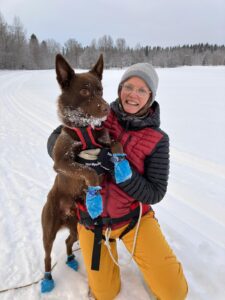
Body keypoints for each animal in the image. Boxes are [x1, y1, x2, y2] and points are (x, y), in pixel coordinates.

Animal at [40, 54, 112, 292]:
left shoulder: (103, 139)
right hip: (48, 229)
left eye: (100, 89)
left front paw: (120, 164)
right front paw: (95, 193)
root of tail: (66, 212)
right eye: (84, 91)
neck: (85, 128)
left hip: (76, 228)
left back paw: (71, 259)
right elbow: (87, 169)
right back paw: (47, 279)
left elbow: (113, 143)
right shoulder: (61, 162)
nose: (107, 109)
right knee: (47, 255)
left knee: (68, 241)